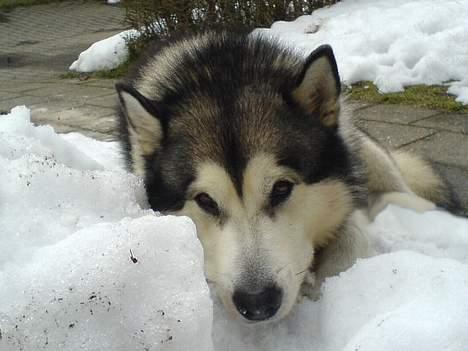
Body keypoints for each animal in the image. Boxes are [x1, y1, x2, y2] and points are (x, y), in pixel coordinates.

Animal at [113, 30, 458, 324]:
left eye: (281, 188)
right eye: (205, 201)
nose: (257, 304)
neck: (220, 70)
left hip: (361, 144)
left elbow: (352, 236)